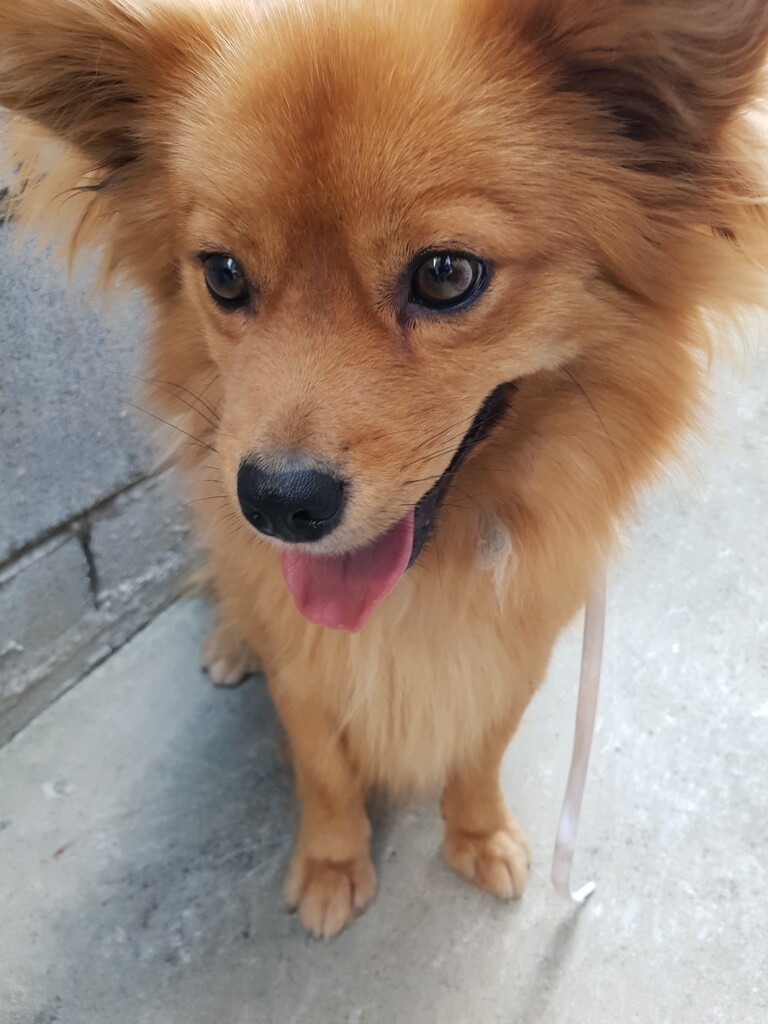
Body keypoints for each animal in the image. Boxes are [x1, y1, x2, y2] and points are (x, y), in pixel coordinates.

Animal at [2, 0, 767, 938]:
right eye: (224, 275)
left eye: (445, 275)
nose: (275, 503)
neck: (417, 588)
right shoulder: (302, 665)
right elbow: (324, 771)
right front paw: (333, 863)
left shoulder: (517, 651)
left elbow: (481, 753)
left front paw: (478, 833)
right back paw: (229, 643)